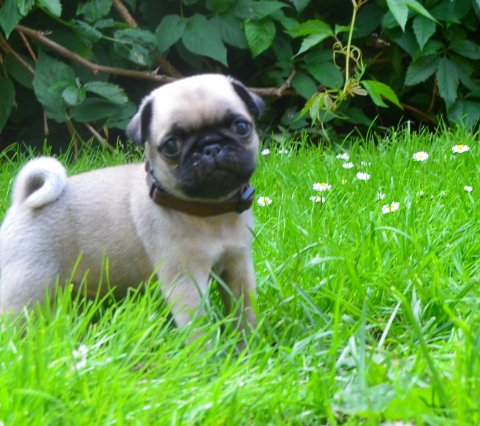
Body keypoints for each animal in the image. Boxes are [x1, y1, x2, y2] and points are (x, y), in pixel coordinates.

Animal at [0, 74, 263, 333]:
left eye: (241, 127)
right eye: (171, 146)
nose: (211, 147)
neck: (210, 212)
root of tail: (22, 202)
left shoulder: (239, 268)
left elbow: (245, 312)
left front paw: (247, 341)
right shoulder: (186, 281)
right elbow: (198, 328)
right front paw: (208, 347)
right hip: (27, 287)